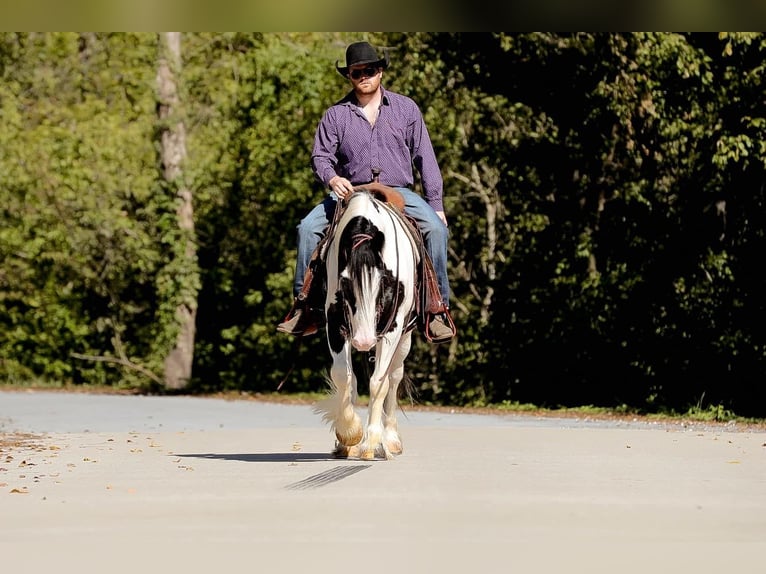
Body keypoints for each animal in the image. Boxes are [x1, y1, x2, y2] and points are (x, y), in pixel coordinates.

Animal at [314, 189, 420, 464]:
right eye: (344, 282)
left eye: (384, 281)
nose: (363, 341)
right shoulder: (336, 324)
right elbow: (344, 377)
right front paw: (349, 434)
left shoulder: (392, 330)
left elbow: (378, 383)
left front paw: (371, 442)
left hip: (404, 338)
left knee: (393, 379)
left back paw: (390, 440)